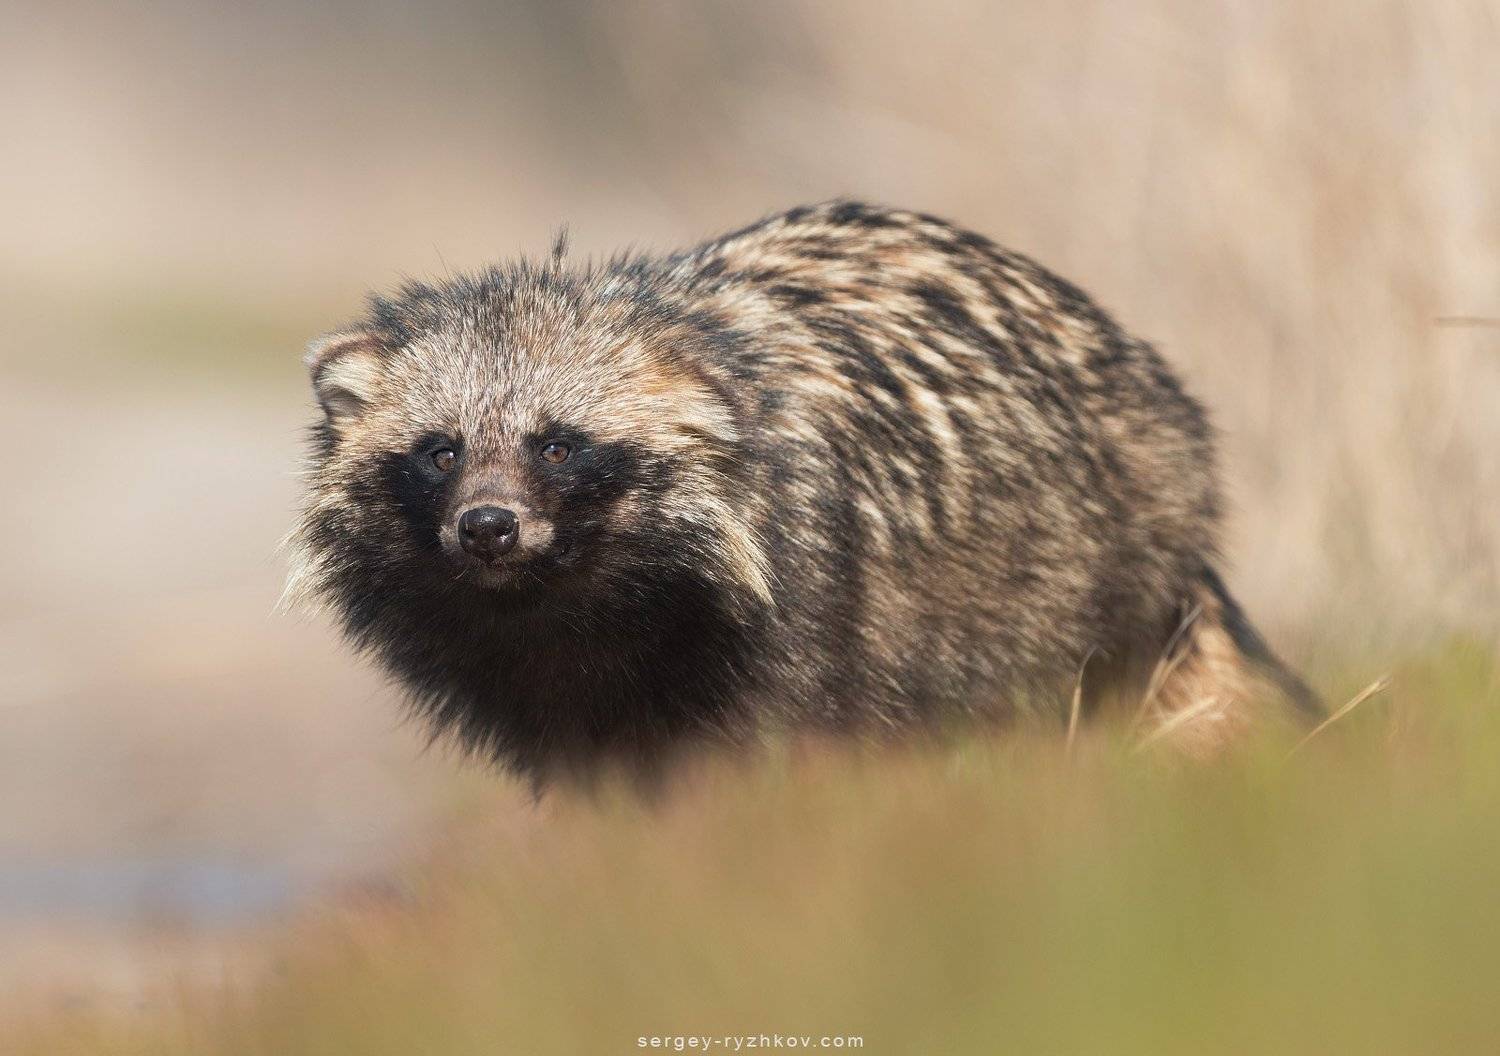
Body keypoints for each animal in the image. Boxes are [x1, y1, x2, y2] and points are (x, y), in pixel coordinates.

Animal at [288, 200, 1315, 780]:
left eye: (559, 445)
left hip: (1066, 603)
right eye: (440, 452)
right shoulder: (558, 717)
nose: (489, 528)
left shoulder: (806, 629)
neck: (575, 618)